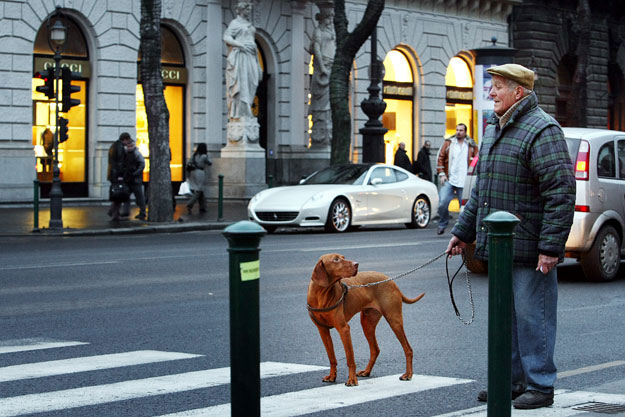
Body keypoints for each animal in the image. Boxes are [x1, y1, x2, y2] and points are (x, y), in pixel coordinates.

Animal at [306, 252, 424, 386]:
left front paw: (352, 380)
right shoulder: (323, 330)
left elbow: (350, 358)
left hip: (394, 321)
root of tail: (390, 280)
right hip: (367, 323)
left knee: (408, 349)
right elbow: (331, 357)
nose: (356, 264)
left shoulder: (344, 329)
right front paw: (332, 376)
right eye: (336, 259)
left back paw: (408, 374)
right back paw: (366, 371)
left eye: (343, 257)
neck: (321, 295)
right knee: (375, 350)